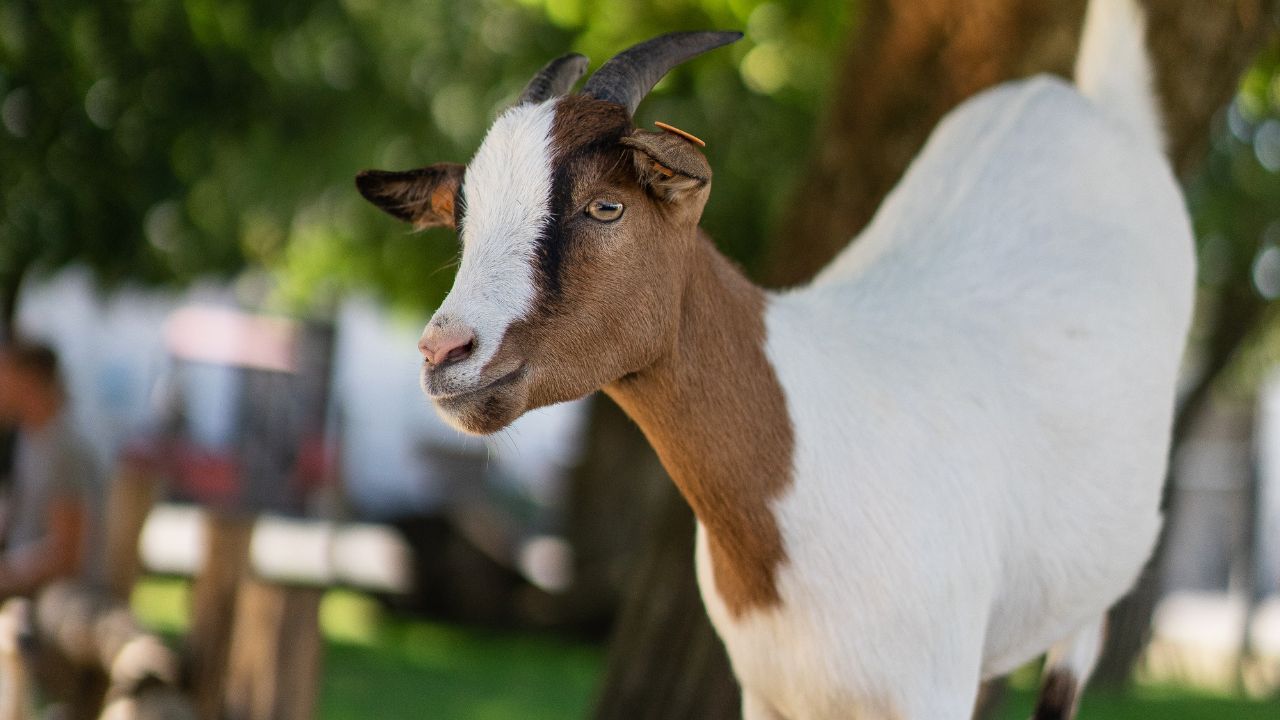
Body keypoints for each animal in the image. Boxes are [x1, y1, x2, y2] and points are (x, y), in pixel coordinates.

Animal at [356, 0, 1194, 716]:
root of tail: (1089, 103)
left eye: (607, 206)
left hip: (1091, 596)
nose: (445, 350)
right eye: (462, 221)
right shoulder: (769, 692)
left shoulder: (928, 692)